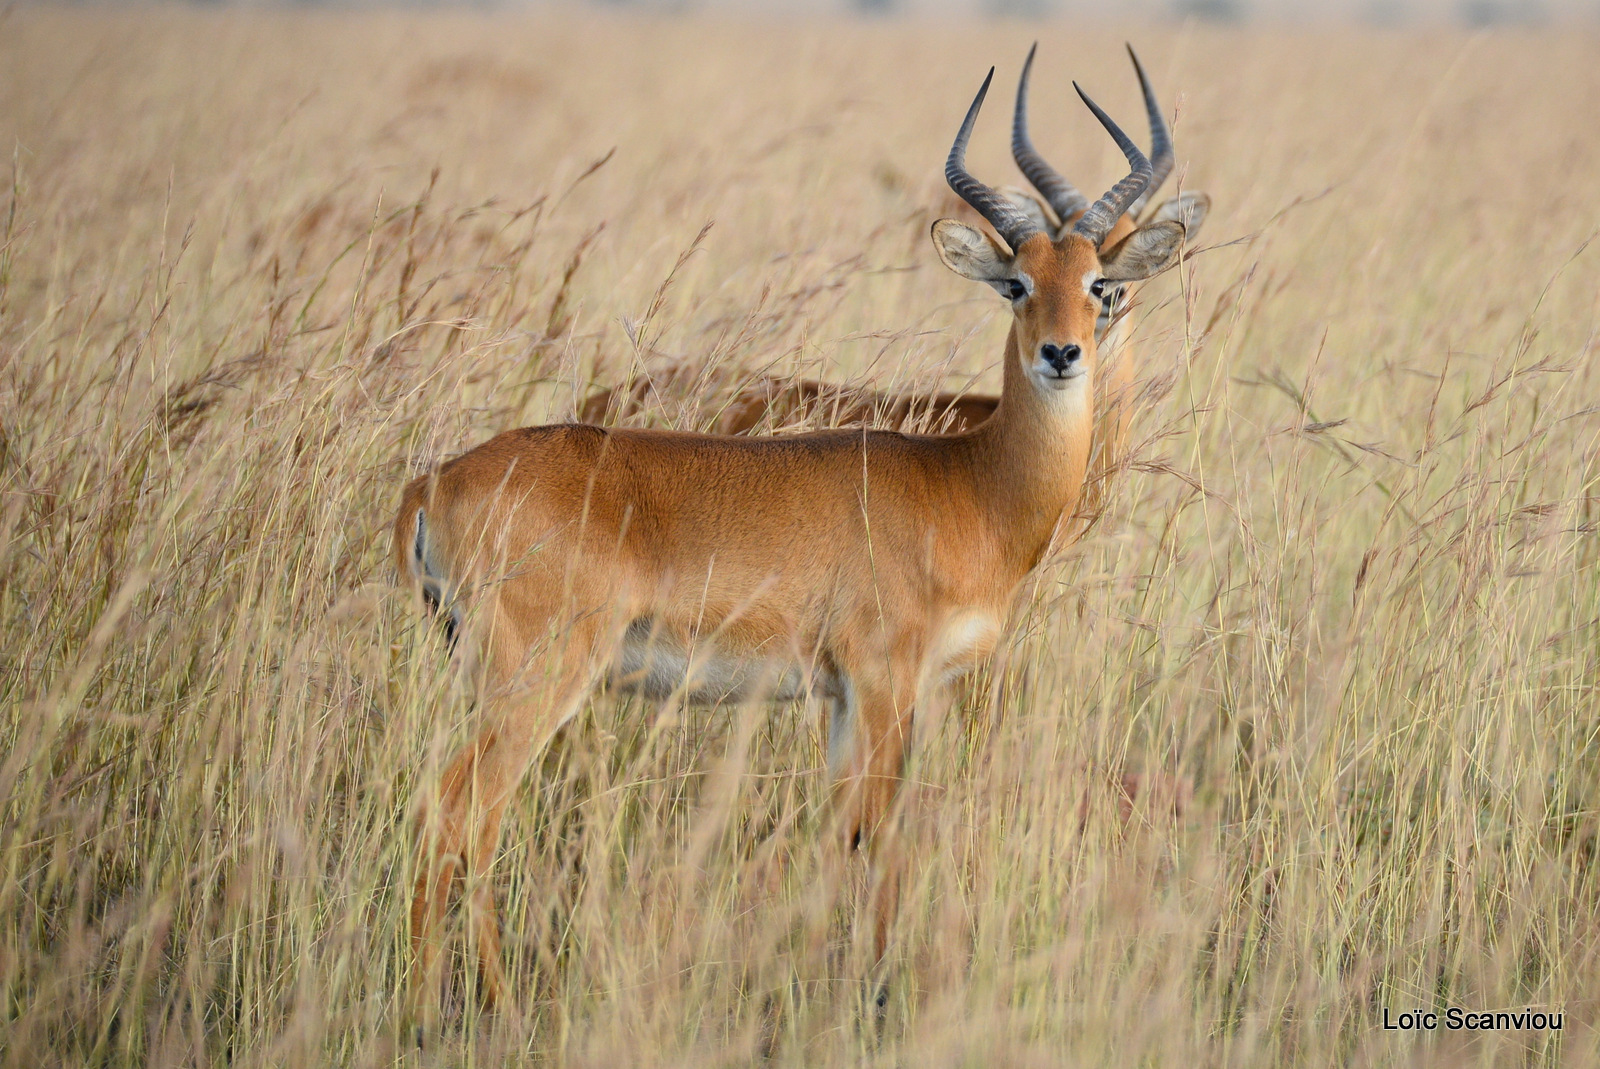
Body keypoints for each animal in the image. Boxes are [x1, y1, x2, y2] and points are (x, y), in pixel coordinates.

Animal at [393, 54, 1184, 1024]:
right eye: (1016, 283)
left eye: (1099, 280)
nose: (1064, 353)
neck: (969, 478)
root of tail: (434, 480)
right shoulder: (886, 681)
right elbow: (883, 836)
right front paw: (878, 1000)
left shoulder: (841, 696)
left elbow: (841, 834)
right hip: (536, 681)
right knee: (456, 813)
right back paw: (459, 1008)